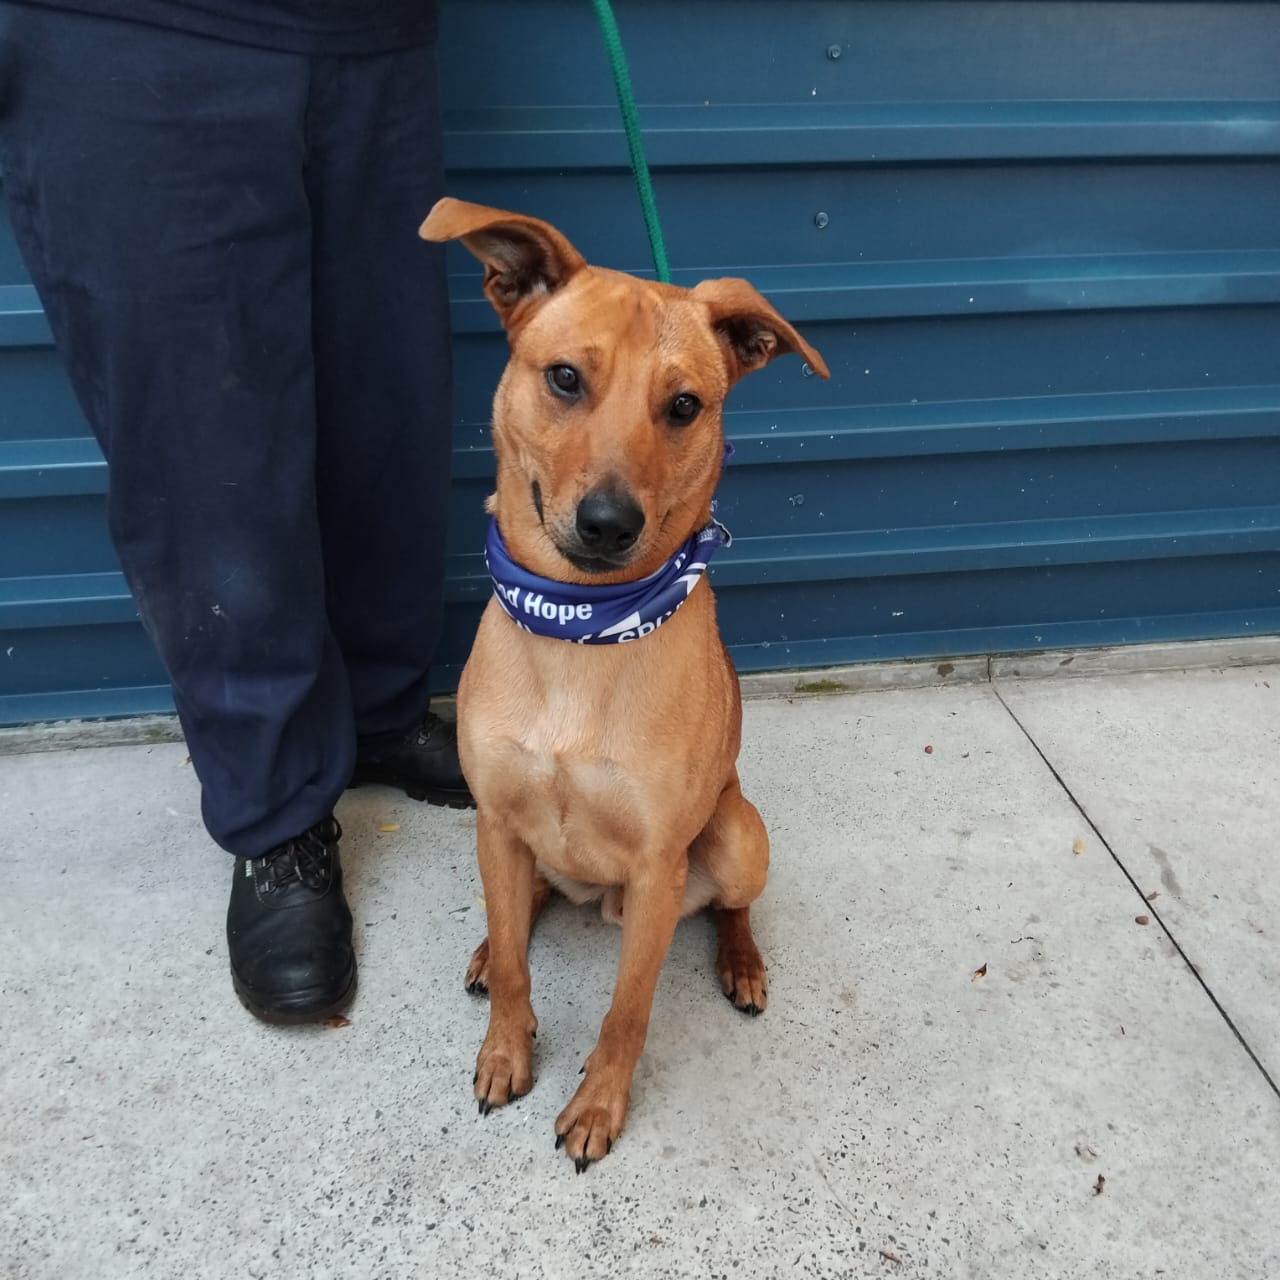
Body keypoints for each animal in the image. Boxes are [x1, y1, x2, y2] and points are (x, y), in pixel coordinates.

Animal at [419, 199, 829, 1170]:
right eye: (565, 378)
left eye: (684, 406)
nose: (609, 524)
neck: (582, 630)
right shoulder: (495, 818)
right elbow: (521, 971)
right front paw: (506, 1049)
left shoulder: (654, 870)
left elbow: (627, 1011)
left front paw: (598, 1106)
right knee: (521, 907)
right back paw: (493, 942)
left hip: (735, 833)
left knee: (733, 906)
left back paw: (742, 961)